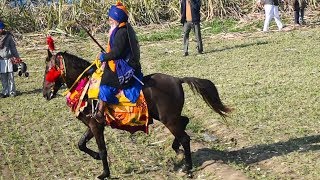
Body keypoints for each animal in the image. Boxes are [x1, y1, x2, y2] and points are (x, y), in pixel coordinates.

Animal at [42, 50, 231, 179]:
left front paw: (104, 173)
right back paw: (176, 149)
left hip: (168, 119)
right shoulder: (93, 125)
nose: (45, 93)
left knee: (185, 137)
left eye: (47, 70)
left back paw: (187, 167)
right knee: (185, 122)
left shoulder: (96, 125)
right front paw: (95, 157)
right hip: (167, 117)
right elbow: (81, 144)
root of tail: (178, 79)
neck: (87, 88)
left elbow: (102, 149)